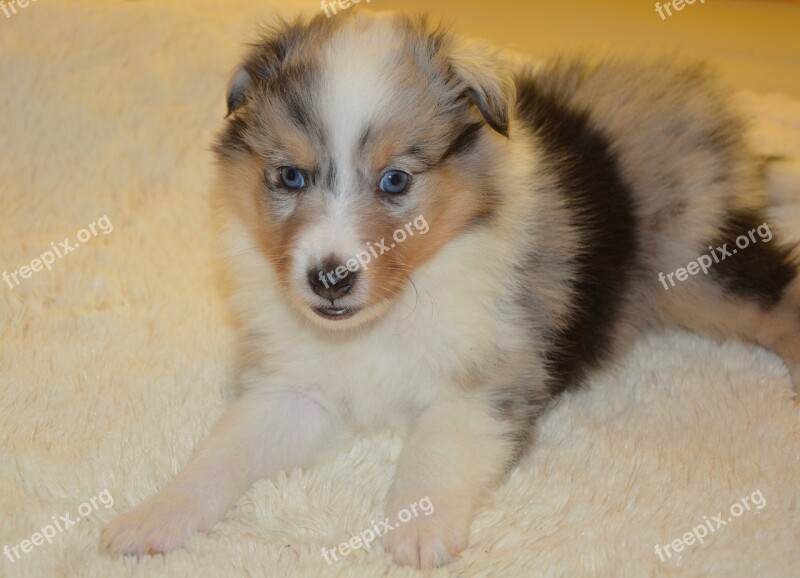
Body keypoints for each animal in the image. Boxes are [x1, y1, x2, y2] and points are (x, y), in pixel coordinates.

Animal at [103, 9, 800, 568]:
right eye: (291, 176)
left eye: (395, 181)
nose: (330, 278)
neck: (386, 314)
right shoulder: (294, 388)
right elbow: (221, 452)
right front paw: (152, 517)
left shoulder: (488, 378)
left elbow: (435, 450)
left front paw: (419, 531)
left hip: (698, 263)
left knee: (778, 297)